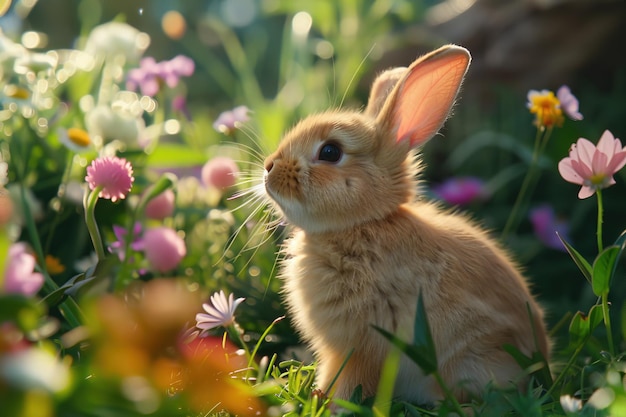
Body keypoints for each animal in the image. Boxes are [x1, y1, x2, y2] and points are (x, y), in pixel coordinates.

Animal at [260, 44, 548, 404]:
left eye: (330, 152)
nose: (269, 168)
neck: (363, 223)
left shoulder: (359, 346)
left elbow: (349, 380)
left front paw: (327, 400)